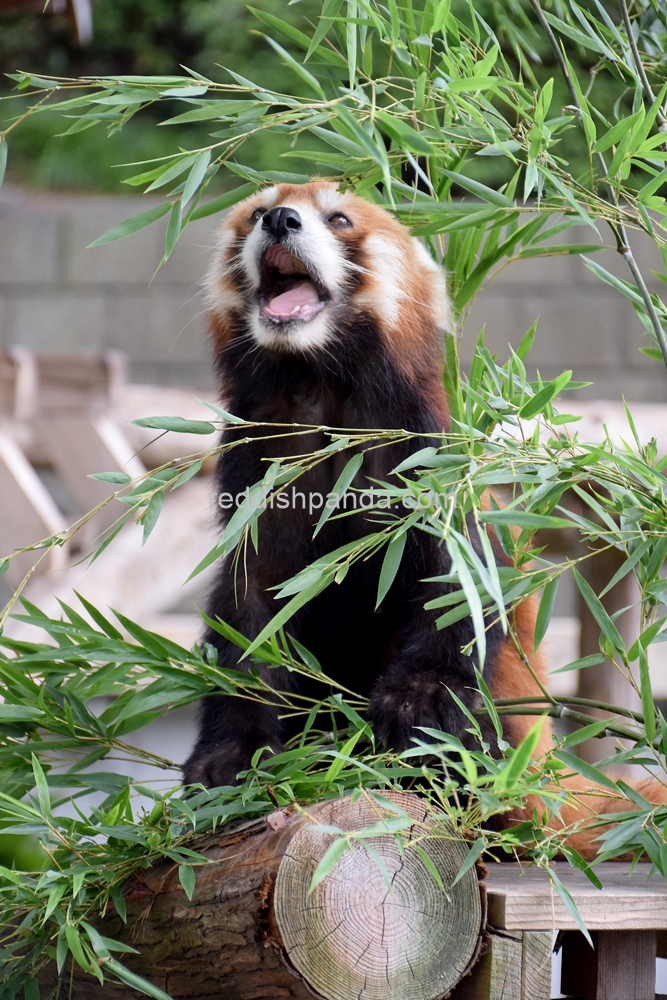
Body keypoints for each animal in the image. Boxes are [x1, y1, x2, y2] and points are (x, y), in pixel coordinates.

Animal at [181, 184, 664, 856]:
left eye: (338, 218)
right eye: (257, 213)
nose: (280, 219)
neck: (319, 385)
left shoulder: (429, 465)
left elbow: (457, 591)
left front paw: (417, 705)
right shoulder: (257, 475)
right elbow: (249, 616)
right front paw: (229, 759)